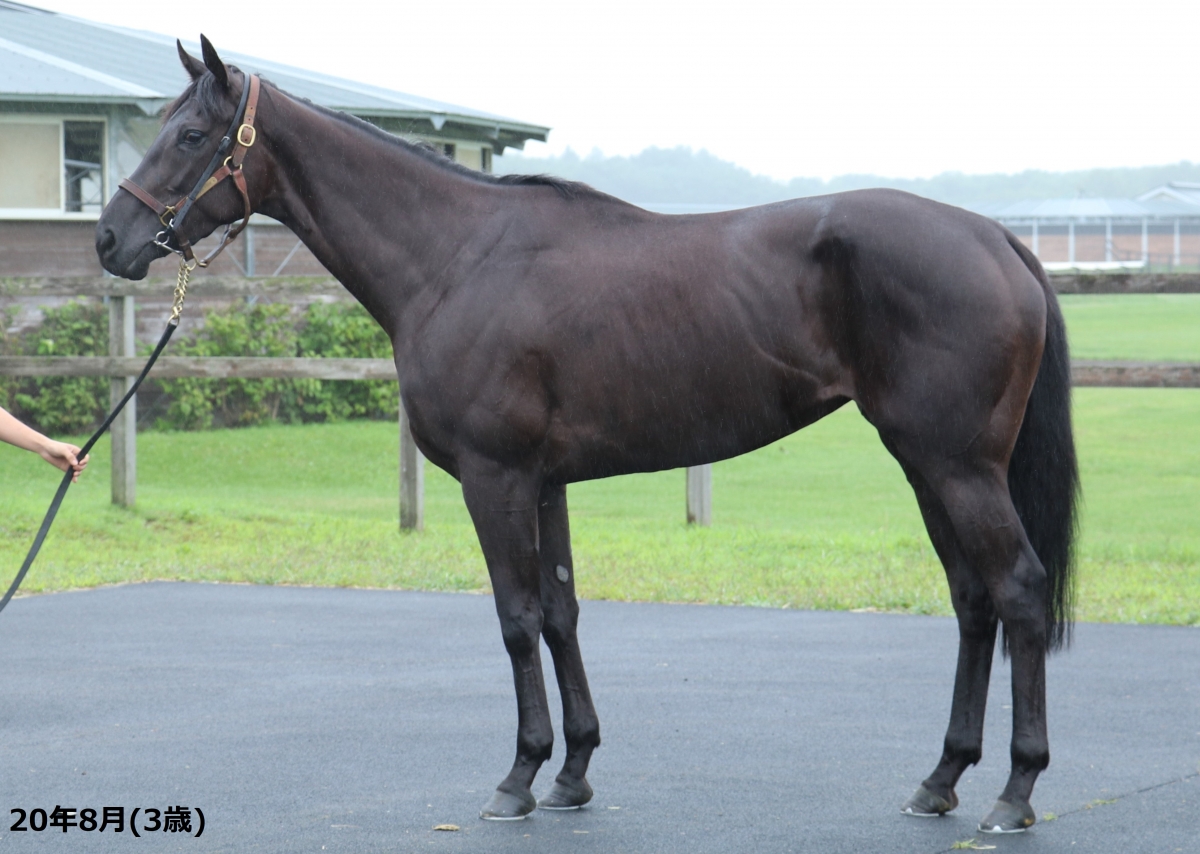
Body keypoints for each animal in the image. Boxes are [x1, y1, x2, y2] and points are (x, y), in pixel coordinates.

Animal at [96, 37, 1079, 834]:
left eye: (191, 136)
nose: (110, 240)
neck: (456, 258)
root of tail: (998, 239)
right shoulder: (545, 483)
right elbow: (563, 613)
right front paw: (572, 772)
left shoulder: (494, 479)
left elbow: (517, 619)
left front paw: (518, 777)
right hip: (927, 465)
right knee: (973, 600)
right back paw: (941, 779)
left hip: (957, 467)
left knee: (1019, 592)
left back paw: (1014, 792)